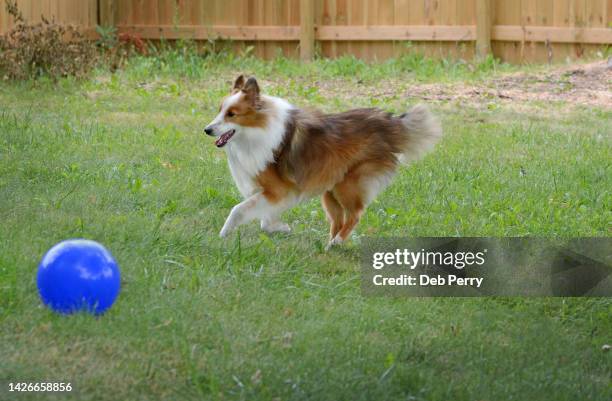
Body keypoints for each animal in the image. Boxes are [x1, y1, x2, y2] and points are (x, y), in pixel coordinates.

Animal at [204, 75, 440, 248]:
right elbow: (265, 218)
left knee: (354, 215)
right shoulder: (274, 194)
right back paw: (329, 245)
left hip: (348, 185)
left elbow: (238, 210)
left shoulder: (278, 190)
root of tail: (389, 124)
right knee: (339, 220)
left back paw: (337, 241)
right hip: (330, 191)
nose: (207, 130)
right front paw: (280, 228)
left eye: (232, 114)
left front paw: (223, 234)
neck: (257, 130)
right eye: (219, 110)